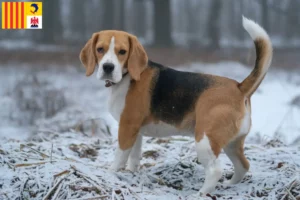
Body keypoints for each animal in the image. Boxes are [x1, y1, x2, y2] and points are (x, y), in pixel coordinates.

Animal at [79, 16, 272, 195]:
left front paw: (111, 174)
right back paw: (229, 185)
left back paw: (200, 194)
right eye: (100, 49)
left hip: (205, 140)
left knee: (215, 170)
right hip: (231, 143)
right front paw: (131, 175)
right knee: (243, 166)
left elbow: (119, 156)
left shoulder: (126, 128)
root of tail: (239, 87)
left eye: (122, 51)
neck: (127, 77)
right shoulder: (135, 131)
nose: (108, 67)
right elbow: (134, 158)